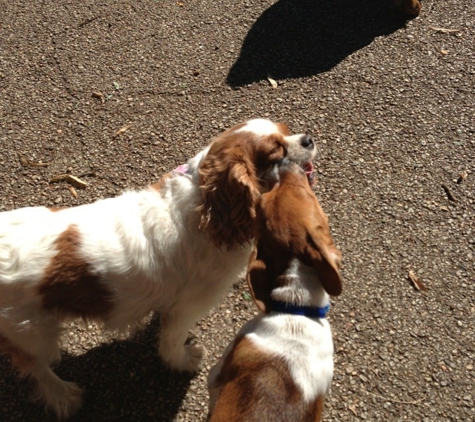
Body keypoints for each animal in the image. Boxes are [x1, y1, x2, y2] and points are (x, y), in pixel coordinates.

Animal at [0, 118, 320, 418]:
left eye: (286, 131)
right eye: (276, 150)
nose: (308, 139)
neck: (205, 203)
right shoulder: (187, 307)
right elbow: (171, 342)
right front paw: (183, 360)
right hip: (32, 331)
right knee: (36, 367)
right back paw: (63, 395)